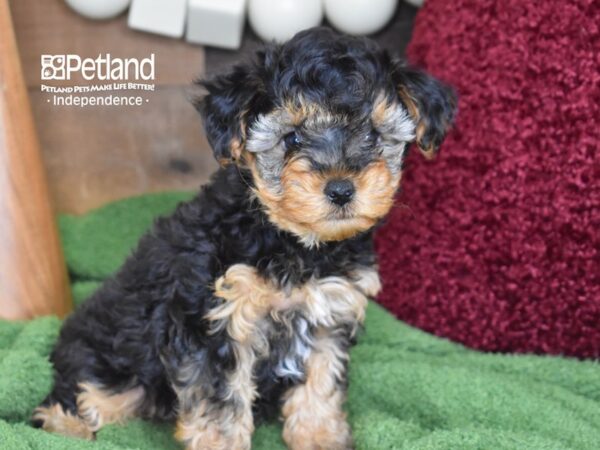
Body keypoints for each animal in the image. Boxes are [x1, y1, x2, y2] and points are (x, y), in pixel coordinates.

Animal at [32, 28, 454, 450]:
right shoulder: (215, 319)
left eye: (372, 133)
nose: (340, 189)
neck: (294, 242)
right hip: (111, 355)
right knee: (85, 392)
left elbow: (320, 384)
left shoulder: (328, 314)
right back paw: (66, 425)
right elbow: (220, 404)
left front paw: (319, 436)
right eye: (292, 138)